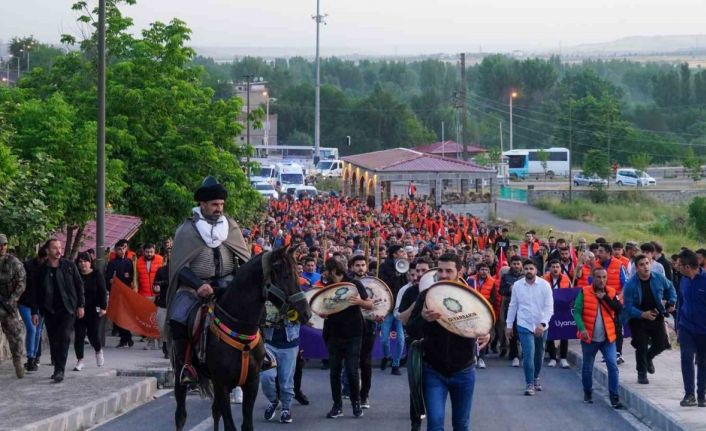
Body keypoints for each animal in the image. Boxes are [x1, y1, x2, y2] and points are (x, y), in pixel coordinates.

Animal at [172, 248, 310, 431]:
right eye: (286, 276)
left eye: (297, 274)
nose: (306, 313)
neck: (239, 329)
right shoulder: (222, 385)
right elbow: (230, 425)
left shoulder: (251, 383)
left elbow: (246, 424)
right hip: (181, 377)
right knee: (181, 415)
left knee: (215, 412)